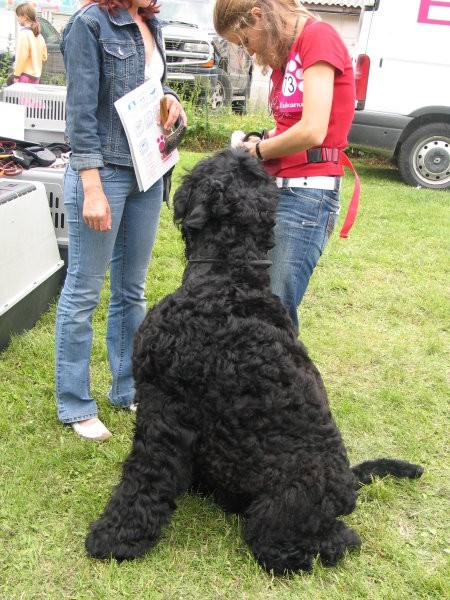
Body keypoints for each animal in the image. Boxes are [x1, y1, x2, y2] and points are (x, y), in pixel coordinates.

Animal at [86, 148, 424, 576]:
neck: (229, 278)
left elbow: (144, 476)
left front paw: (117, 535)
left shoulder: (164, 409)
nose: (244, 147)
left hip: (282, 509)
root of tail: (347, 484)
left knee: (328, 542)